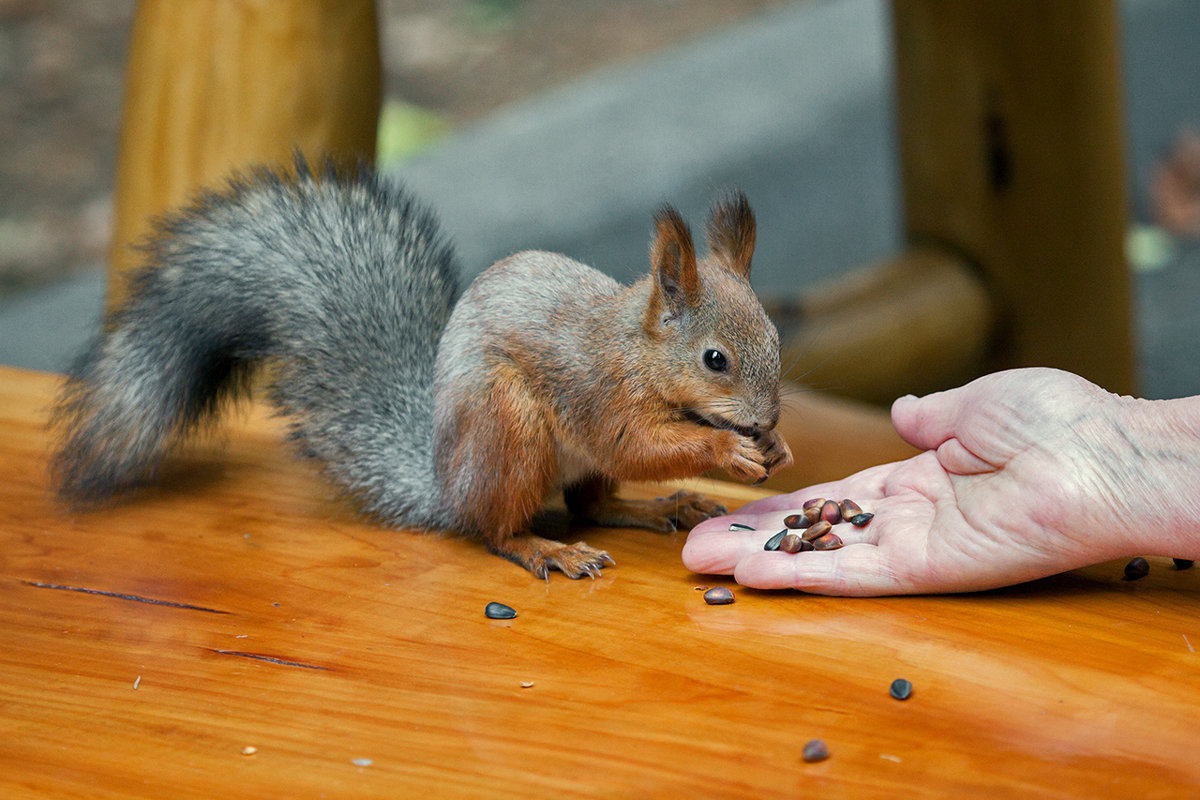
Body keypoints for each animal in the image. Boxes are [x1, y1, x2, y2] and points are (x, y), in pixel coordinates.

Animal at [51, 155, 792, 578]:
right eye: (715, 359)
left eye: (776, 338)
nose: (764, 420)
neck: (636, 351)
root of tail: (445, 485)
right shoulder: (596, 391)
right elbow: (637, 444)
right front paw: (726, 450)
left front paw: (775, 447)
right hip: (509, 429)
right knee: (496, 529)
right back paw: (546, 550)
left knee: (593, 504)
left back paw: (663, 504)